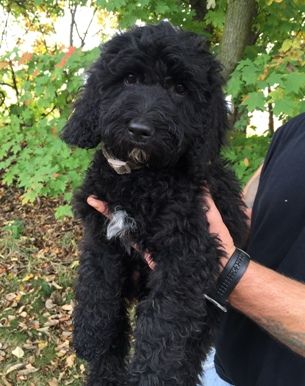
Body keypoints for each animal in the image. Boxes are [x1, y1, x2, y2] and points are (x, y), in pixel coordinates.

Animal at [61, 21, 247, 386]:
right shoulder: (101, 231)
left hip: (206, 318)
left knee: (187, 356)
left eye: (179, 88)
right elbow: (95, 282)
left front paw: (150, 373)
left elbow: (164, 320)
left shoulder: (187, 253)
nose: (140, 129)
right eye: (130, 78)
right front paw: (90, 333)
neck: (139, 178)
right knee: (116, 338)